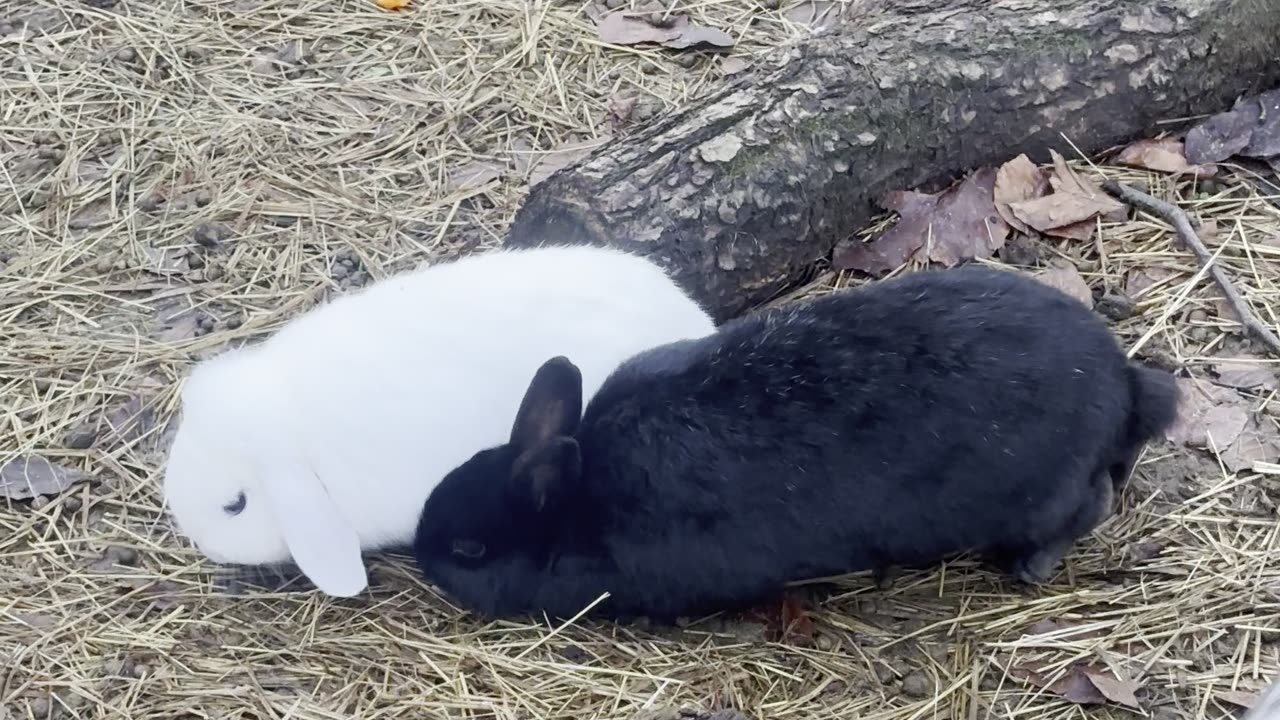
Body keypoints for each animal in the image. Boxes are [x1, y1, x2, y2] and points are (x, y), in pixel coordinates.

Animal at [412, 265, 1180, 621]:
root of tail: (1119, 382)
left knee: (1091, 502)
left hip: (1036, 494)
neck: (578, 498)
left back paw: (1033, 564)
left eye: (470, 550)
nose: (421, 554)